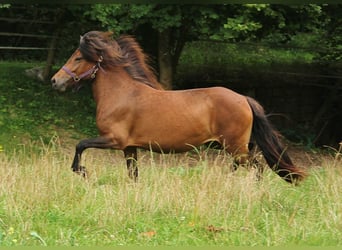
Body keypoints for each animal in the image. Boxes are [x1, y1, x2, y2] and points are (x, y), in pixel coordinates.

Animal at [50, 30, 308, 184]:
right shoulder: (129, 148)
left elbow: (80, 145)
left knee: (257, 168)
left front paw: (82, 171)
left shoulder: (114, 140)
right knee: (243, 167)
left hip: (236, 147)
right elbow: (133, 174)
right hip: (239, 147)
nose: (55, 81)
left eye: (78, 58)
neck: (121, 94)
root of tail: (244, 98)